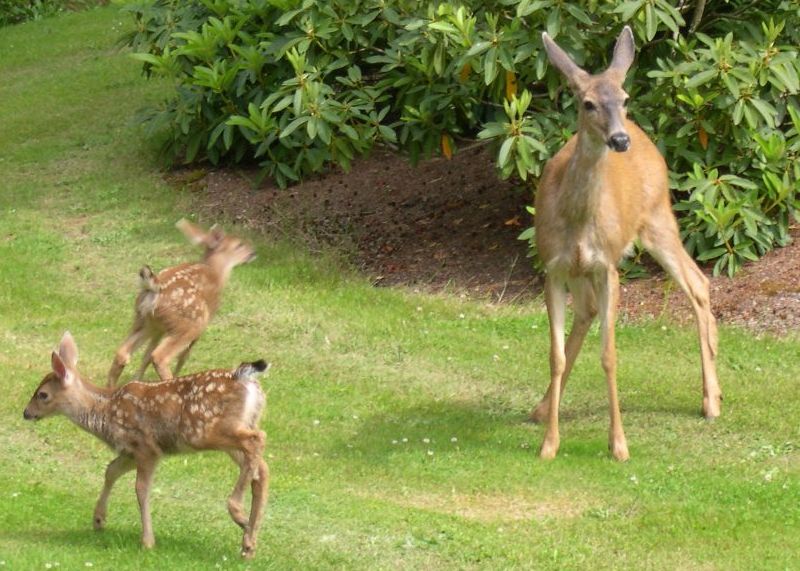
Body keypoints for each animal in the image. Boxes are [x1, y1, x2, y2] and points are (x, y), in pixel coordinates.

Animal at [23, 330, 270, 560]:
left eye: (42, 395)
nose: (26, 413)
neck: (105, 412)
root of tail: (245, 378)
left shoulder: (146, 447)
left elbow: (141, 488)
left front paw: (148, 541)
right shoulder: (131, 451)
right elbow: (110, 470)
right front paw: (99, 519)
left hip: (206, 431)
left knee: (257, 440)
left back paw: (240, 516)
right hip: (233, 434)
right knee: (261, 469)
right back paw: (249, 542)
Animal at [108, 221, 255, 386]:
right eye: (239, 244)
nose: (253, 252)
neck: (217, 274)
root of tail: (154, 288)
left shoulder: (160, 329)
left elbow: (146, 355)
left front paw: (137, 381)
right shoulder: (204, 322)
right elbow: (183, 356)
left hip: (144, 320)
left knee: (123, 352)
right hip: (189, 324)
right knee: (159, 356)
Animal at [532, 27, 720, 464]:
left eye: (624, 97)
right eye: (587, 103)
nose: (619, 139)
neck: (578, 220)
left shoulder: (608, 267)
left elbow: (610, 356)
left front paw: (618, 444)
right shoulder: (554, 267)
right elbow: (555, 355)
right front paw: (549, 444)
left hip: (657, 217)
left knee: (698, 283)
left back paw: (711, 400)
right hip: (591, 264)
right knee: (586, 312)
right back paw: (543, 407)